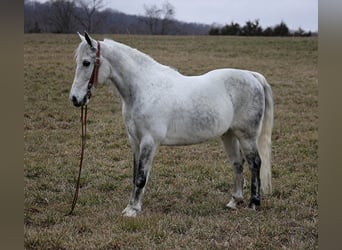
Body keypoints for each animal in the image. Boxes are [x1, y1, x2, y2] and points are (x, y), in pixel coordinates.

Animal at [70, 32, 276, 217]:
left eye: (86, 63)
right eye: (78, 61)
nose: (75, 98)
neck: (144, 88)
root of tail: (252, 76)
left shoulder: (149, 142)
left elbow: (141, 178)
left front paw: (132, 210)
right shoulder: (134, 141)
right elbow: (135, 175)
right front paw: (131, 206)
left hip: (247, 136)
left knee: (255, 163)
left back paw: (253, 203)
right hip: (229, 135)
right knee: (238, 163)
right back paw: (234, 201)